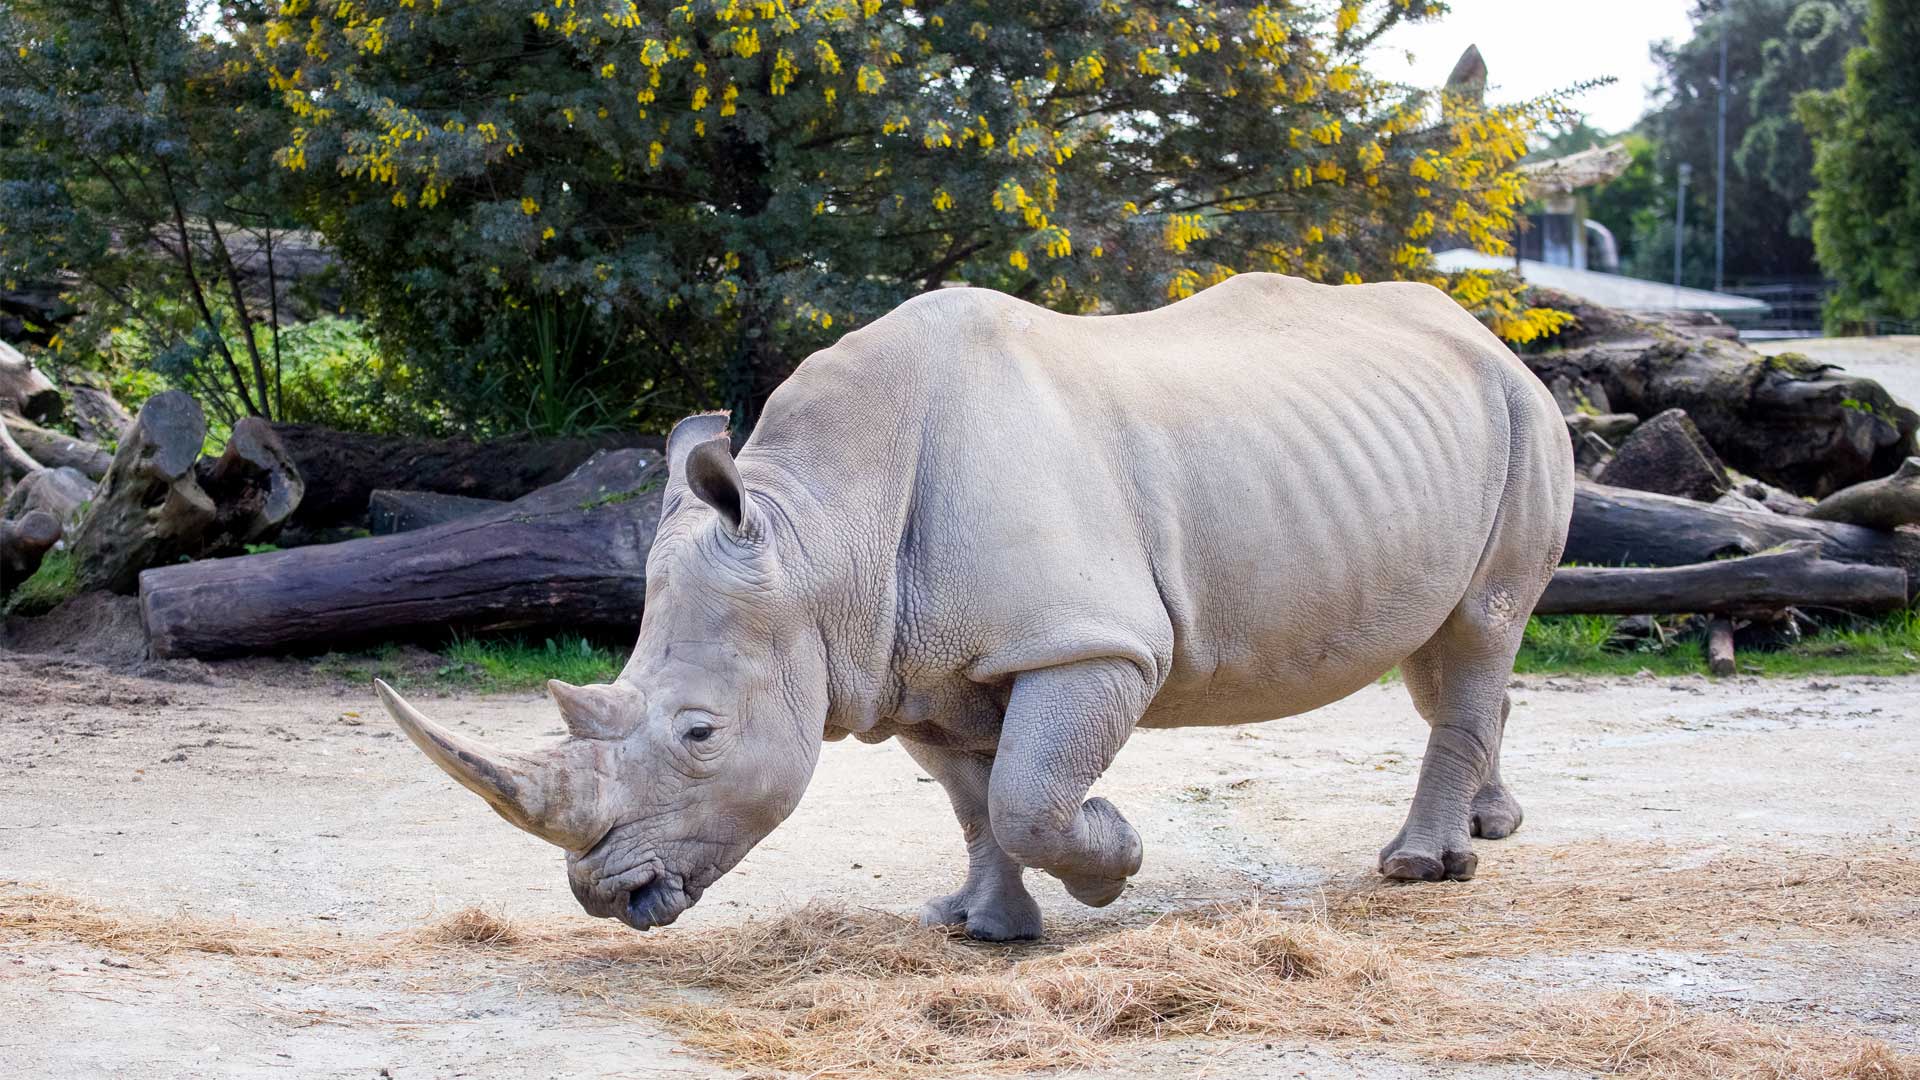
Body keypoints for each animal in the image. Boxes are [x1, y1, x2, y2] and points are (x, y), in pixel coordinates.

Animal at [375, 273, 1574, 941]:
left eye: (700, 734)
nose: (601, 893)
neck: (820, 539)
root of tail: (1491, 334)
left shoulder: (1090, 645)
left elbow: (1029, 795)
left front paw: (1115, 864)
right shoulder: (906, 665)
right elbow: (974, 801)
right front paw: (980, 931)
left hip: (1529, 414)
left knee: (1481, 626)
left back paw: (1421, 871)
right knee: (1443, 652)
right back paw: (1492, 827)